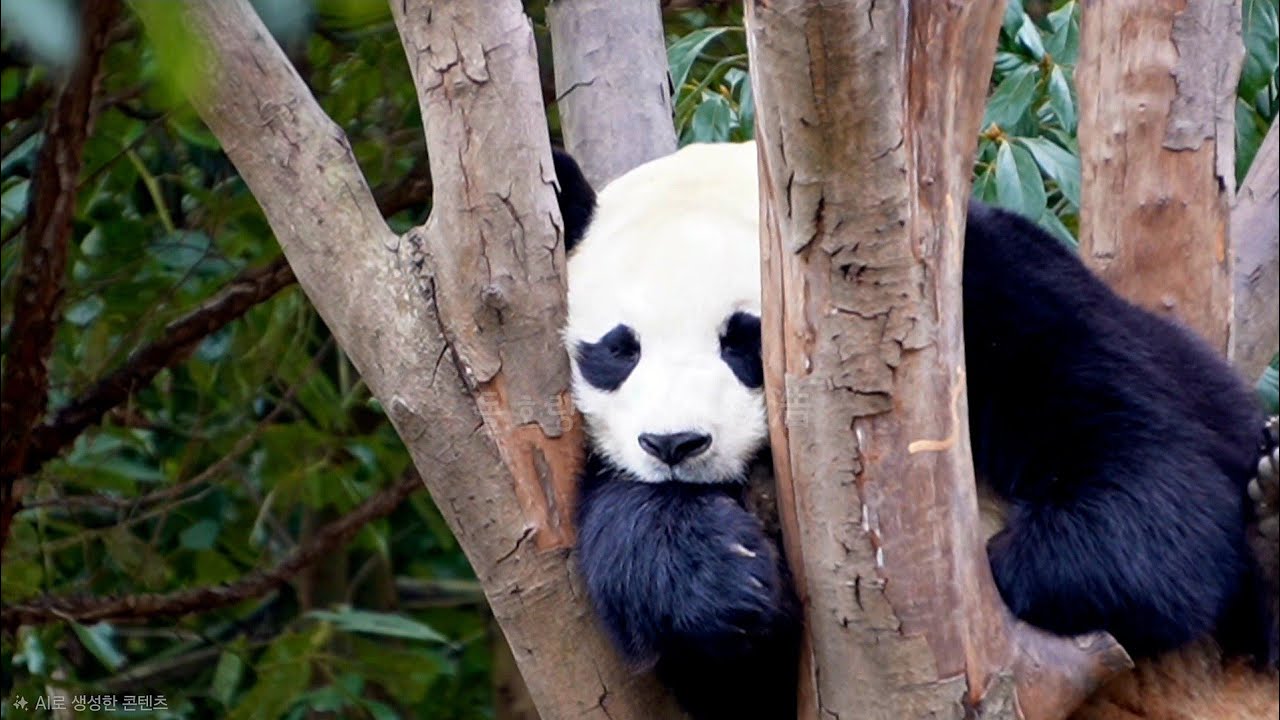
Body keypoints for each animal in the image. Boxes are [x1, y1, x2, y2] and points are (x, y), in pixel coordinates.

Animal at [551, 141, 1277, 720]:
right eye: (619, 350)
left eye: (743, 341)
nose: (676, 444)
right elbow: (638, 536)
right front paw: (726, 577)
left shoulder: (989, 293)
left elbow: (1146, 464)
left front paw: (1010, 567)